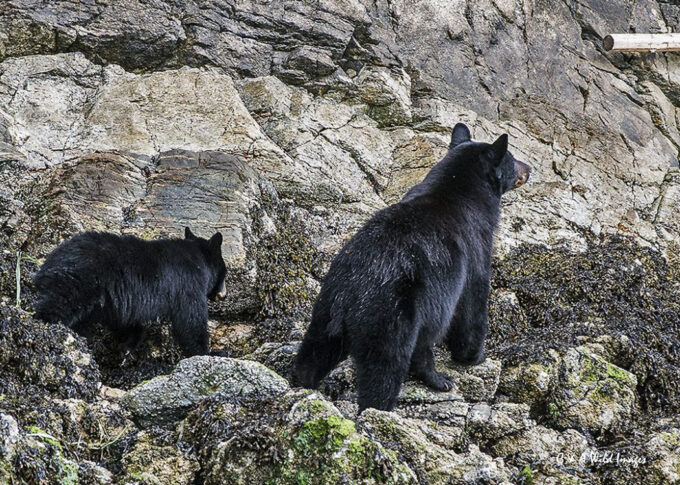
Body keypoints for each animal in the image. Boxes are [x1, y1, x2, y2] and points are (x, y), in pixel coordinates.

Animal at [33, 227, 227, 357]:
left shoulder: (117, 302)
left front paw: (127, 347)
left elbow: (126, 321)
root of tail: (49, 262)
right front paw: (210, 352)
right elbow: (190, 318)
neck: (198, 260)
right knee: (60, 303)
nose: (224, 295)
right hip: (81, 280)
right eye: (225, 272)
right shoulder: (188, 282)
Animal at [293, 123, 531, 412]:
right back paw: (400, 398)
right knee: (387, 364)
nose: (529, 168)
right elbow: (472, 304)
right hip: (391, 314)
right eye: (513, 159)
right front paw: (473, 356)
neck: (455, 188)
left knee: (315, 351)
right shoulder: (476, 248)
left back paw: (300, 382)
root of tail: (350, 294)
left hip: (326, 309)